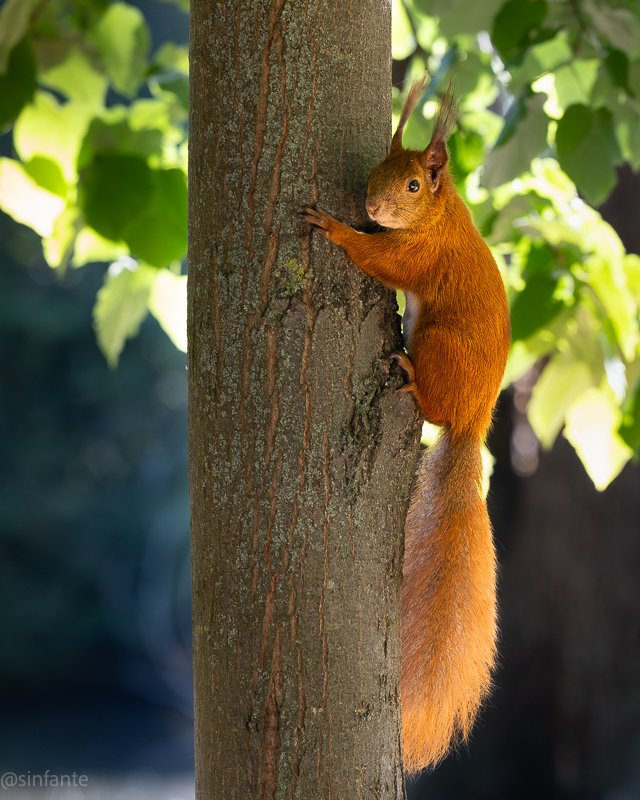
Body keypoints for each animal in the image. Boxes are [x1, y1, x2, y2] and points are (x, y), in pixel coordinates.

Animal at [303, 77, 511, 772]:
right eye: (376, 170)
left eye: (415, 184)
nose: (370, 203)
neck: (443, 217)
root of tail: (474, 421)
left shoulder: (419, 257)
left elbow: (383, 263)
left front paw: (334, 228)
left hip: (441, 345)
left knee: (431, 403)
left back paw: (414, 380)